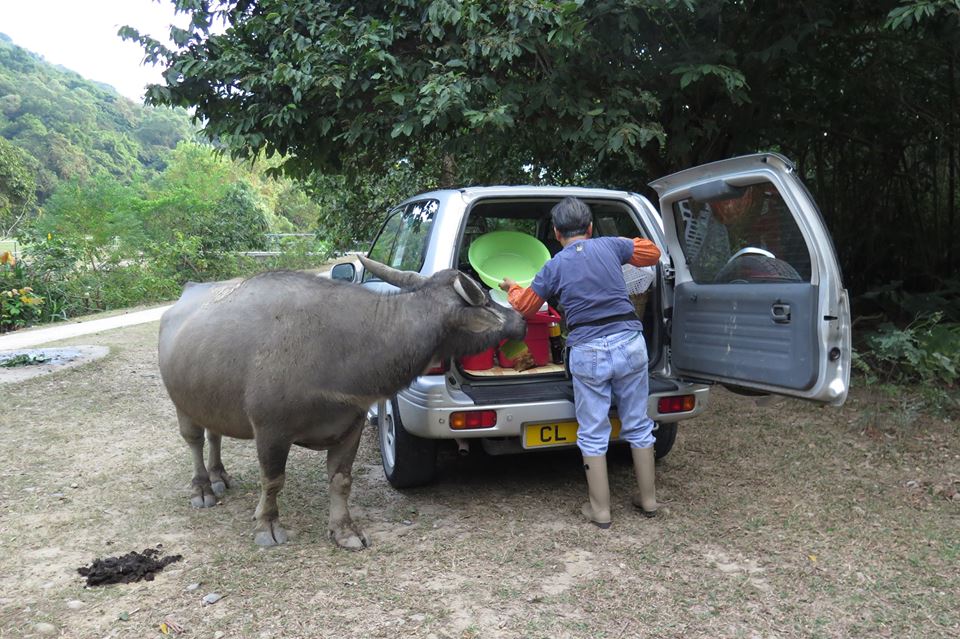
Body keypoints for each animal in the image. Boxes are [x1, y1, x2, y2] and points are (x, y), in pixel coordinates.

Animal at [158, 258, 524, 548]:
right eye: (486, 300)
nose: (519, 319)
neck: (338, 345)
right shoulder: (270, 430)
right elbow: (273, 480)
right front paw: (267, 525)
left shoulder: (351, 424)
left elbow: (340, 480)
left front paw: (344, 530)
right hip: (181, 403)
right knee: (193, 440)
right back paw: (203, 488)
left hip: (209, 401)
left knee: (214, 435)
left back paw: (220, 476)